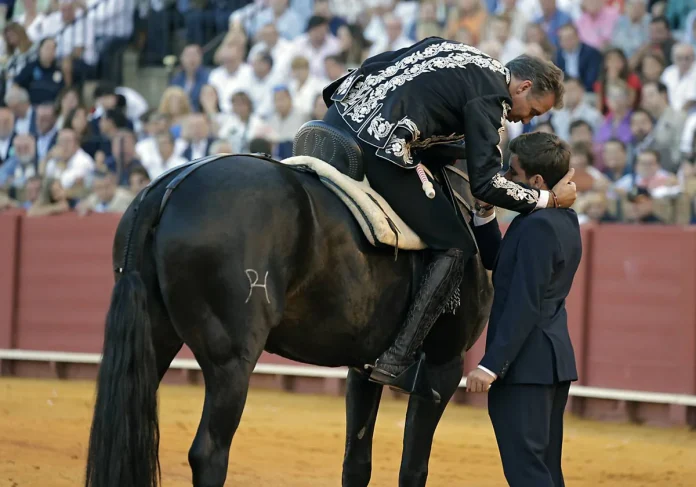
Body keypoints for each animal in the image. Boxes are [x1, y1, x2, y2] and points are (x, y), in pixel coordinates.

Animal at [84, 150, 492, 487]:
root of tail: (170, 187)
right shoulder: (443, 366)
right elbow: (413, 467)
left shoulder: (363, 368)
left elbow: (356, 462)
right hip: (231, 362)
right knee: (209, 454)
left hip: (153, 341)